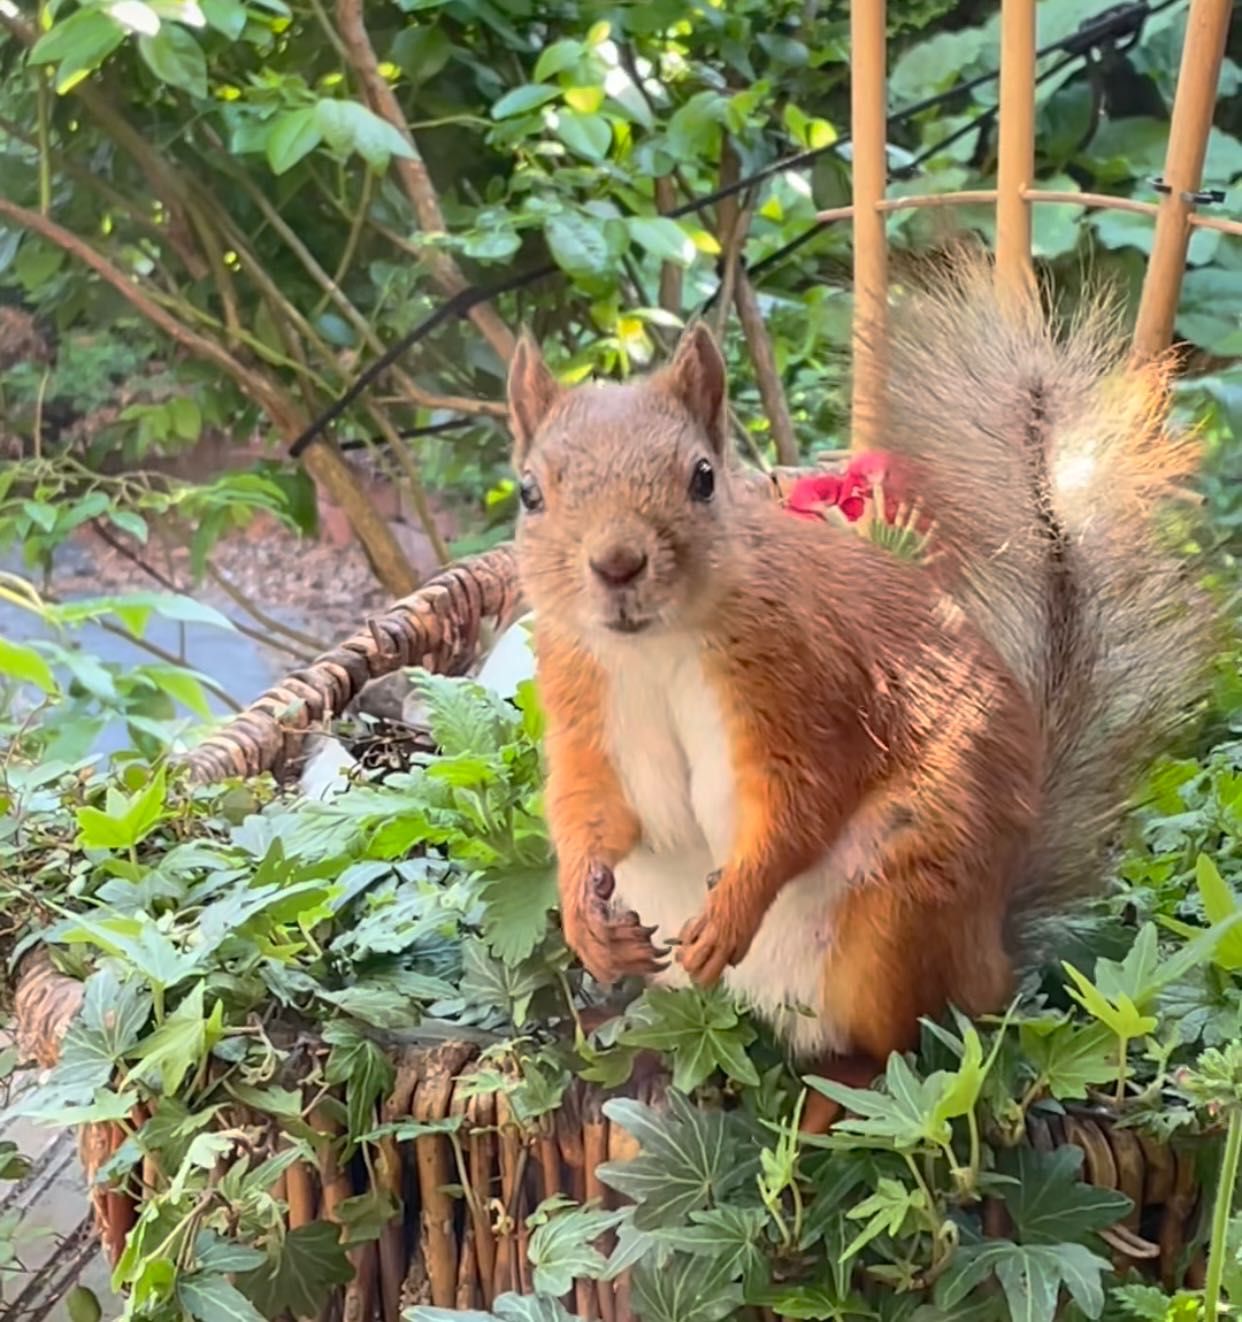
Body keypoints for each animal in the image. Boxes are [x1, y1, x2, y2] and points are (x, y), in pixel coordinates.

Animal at [505, 255, 1211, 1126]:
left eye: (703, 479)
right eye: (529, 493)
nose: (617, 563)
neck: (653, 649)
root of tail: (992, 955)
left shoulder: (807, 685)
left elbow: (800, 805)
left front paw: (734, 907)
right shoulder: (580, 705)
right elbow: (587, 810)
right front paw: (581, 913)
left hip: (899, 914)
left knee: (902, 1046)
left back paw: (850, 1093)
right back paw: (645, 1060)